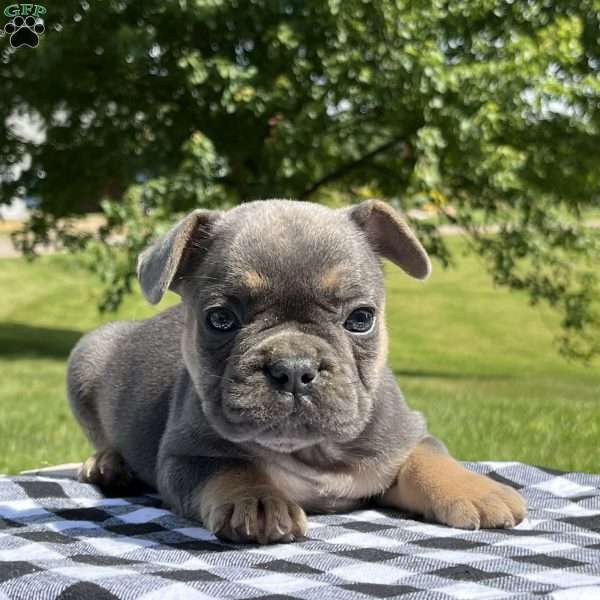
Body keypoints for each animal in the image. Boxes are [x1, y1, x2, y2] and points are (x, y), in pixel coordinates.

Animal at [69, 200, 524, 544]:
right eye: (220, 319)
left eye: (361, 318)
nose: (293, 368)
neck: (312, 450)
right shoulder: (187, 456)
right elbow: (232, 469)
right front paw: (257, 503)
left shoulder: (404, 433)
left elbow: (427, 455)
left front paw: (475, 488)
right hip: (85, 359)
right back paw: (107, 464)